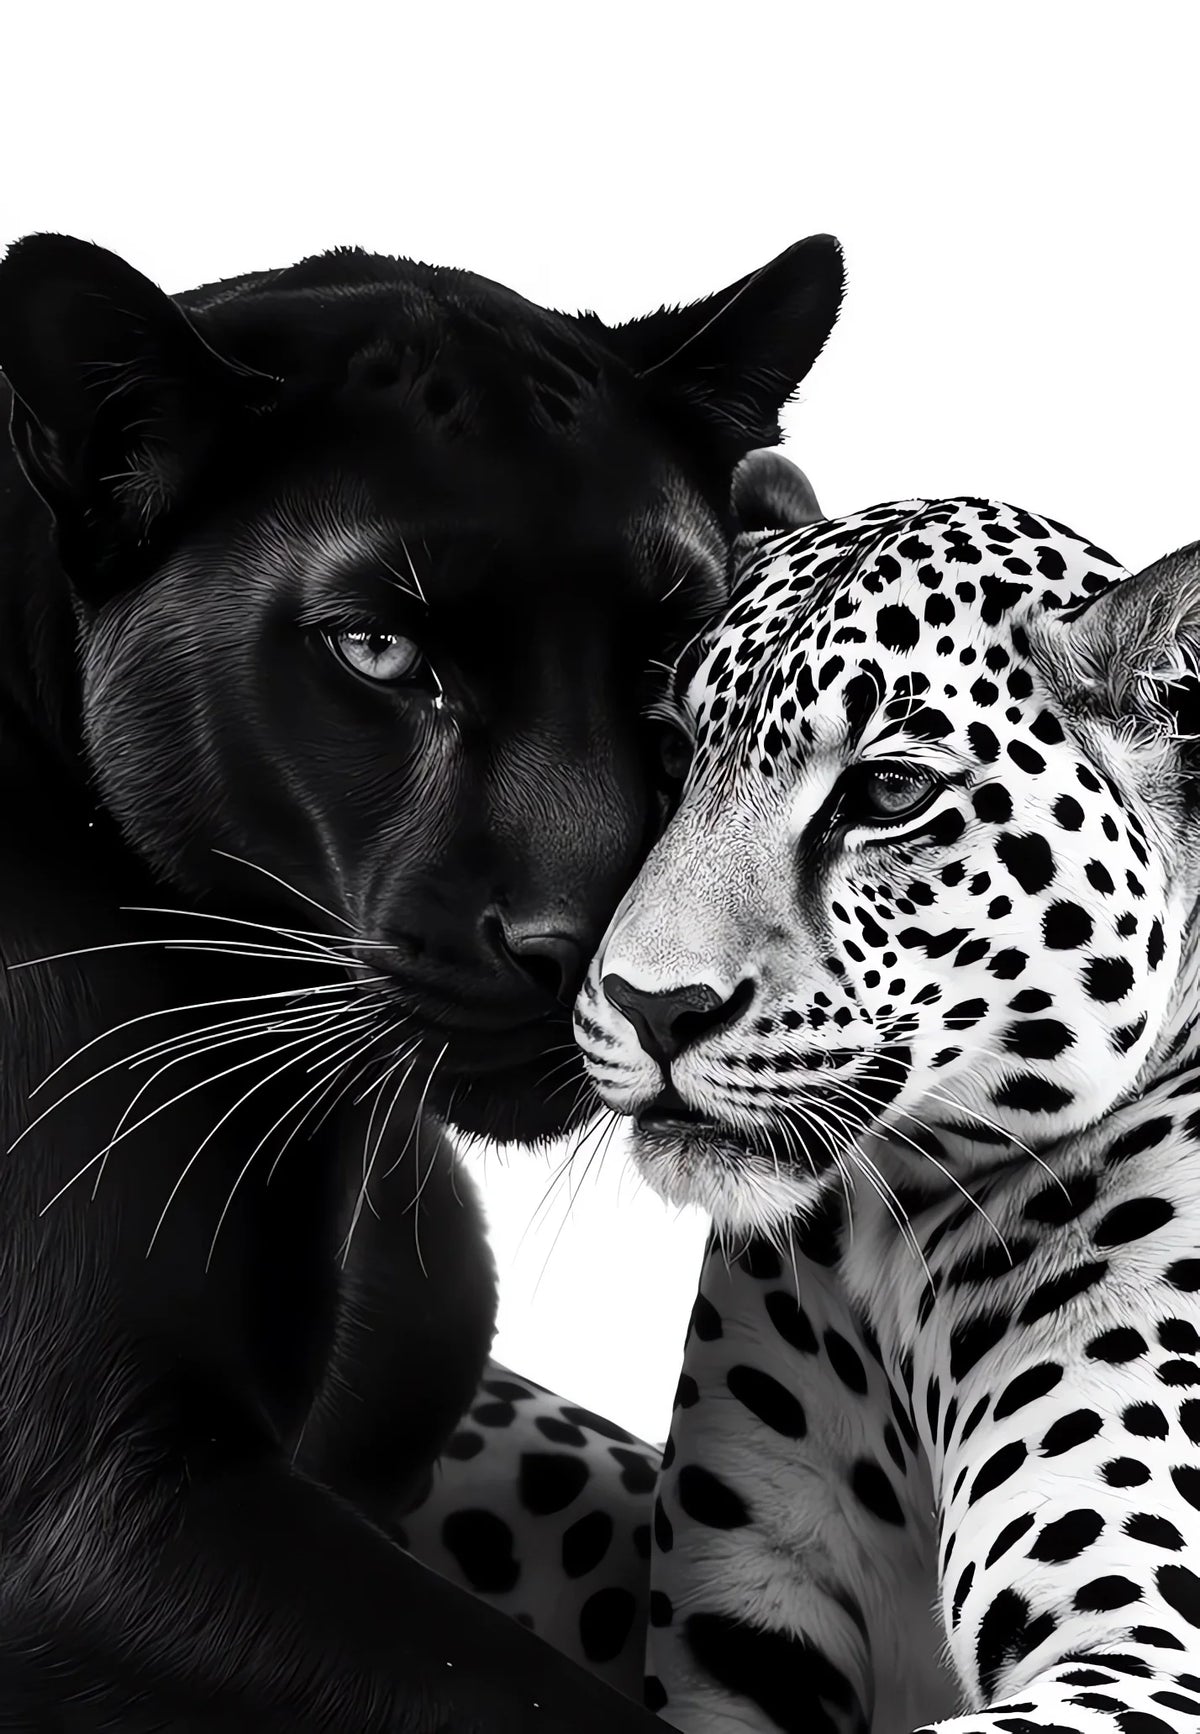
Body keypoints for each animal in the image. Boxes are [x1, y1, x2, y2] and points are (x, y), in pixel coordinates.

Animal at [577, 495, 1200, 1734]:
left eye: (890, 796)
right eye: (671, 755)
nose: (651, 1004)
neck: (892, 1238)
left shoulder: (1148, 1646)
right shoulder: (741, 1636)